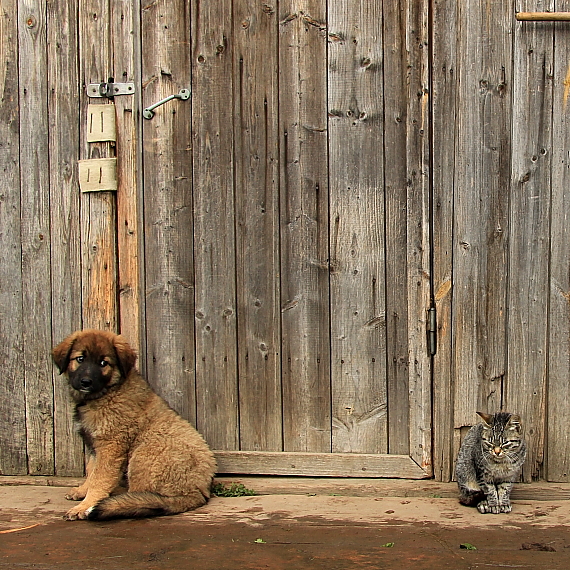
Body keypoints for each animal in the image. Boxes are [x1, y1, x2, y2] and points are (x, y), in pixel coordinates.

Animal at [52, 328, 216, 520]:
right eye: (80, 359)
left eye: (103, 363)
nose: (86, 382)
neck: (108, 391)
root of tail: (197, 492)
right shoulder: (95, 445)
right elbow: (91, 471)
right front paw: (83, 491)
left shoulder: (111, 445)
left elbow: (99, 478)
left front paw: (85, 505)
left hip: (143, 455)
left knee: (139, 494)